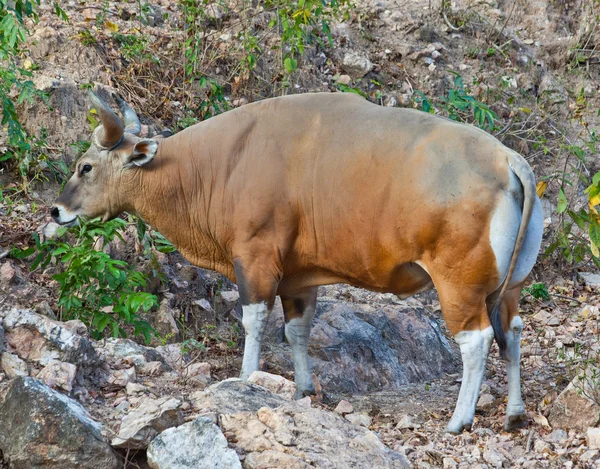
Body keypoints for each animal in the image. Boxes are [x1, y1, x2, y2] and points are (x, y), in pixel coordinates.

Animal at [51, 89, 544, 434]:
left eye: (85, 167)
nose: (56, 212)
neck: (221, 164)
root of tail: (508, 160)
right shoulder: (299, 279)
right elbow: (297, 331)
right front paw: (304, 389)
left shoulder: (255, 258)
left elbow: (253, 322)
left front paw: (245, 378)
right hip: (508, 287)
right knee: (513, 331)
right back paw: (515, 413)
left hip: (458, 284)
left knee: (476, 340)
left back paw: (460, 419)